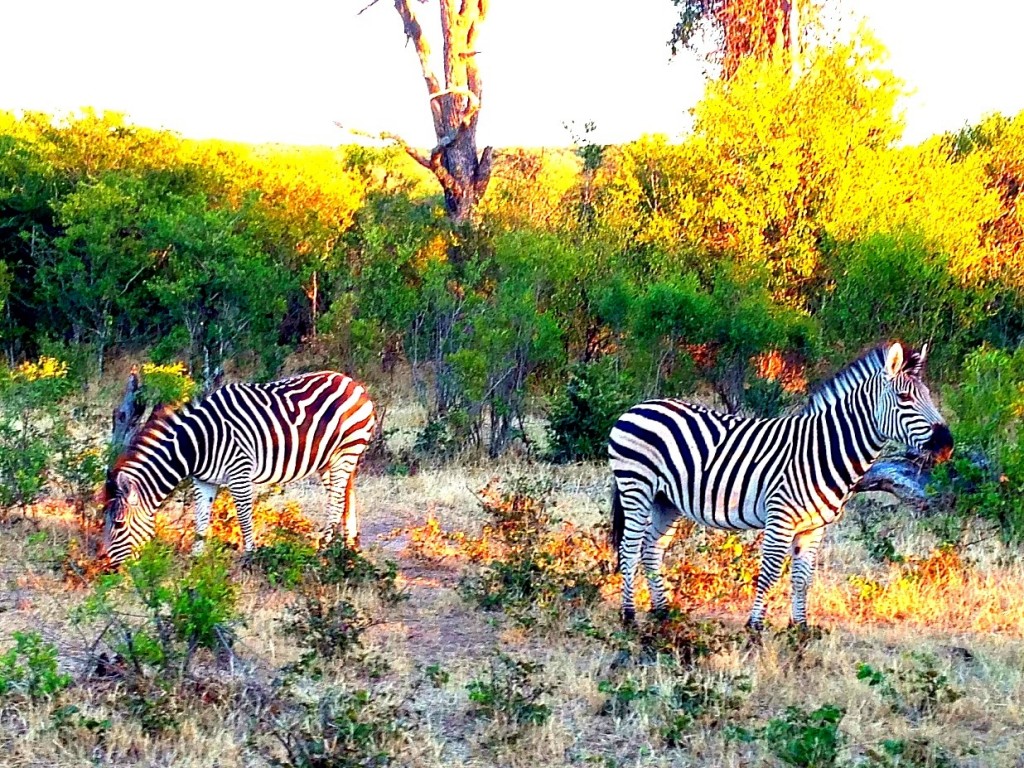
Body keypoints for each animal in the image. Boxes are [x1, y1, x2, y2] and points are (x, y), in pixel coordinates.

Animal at [99, 370, 376, 569]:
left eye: (119, 524)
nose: (108, 568)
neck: (197, 445)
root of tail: (353, 383)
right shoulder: (203, 480)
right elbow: (201, 517)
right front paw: (196, 558)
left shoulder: (239, 472)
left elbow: (243, 517)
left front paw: (251, 557)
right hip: (329, 459)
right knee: (346, 496)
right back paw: (349, 546)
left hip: (346, 451)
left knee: (336, 501)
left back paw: (323, 549)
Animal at [606, 344, 950, 630]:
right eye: (905, 399)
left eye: (929, 396)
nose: (946, 445)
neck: (824, 448)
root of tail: (638, 407)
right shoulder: (780, 518)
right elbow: (770, 573)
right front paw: (755, 627)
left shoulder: (814, 528)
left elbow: (802, 579)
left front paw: (800, 629)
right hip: (636, 487)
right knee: (630, 548)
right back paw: (629, 615)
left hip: (666, 501)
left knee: (651, 548)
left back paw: (662, 612)